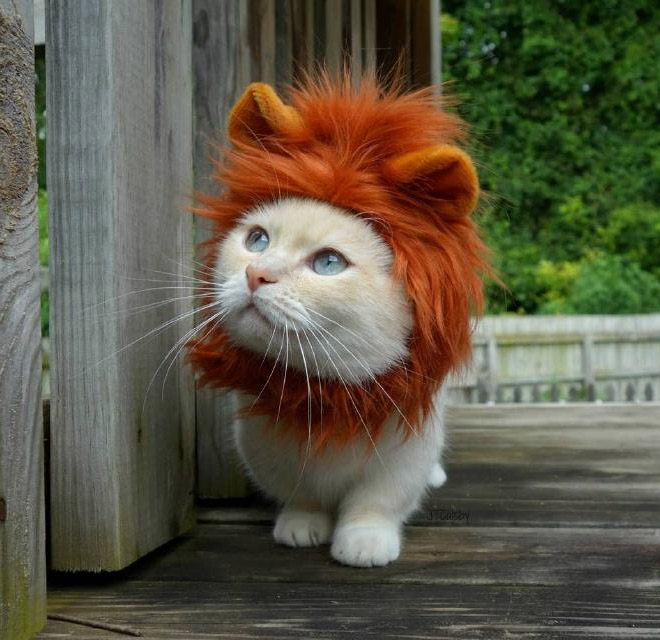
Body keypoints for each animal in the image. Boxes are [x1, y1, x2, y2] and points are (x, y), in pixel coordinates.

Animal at [214, 198, 446, 568]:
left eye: (328, 262)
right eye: (257, 240)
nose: (255, 273)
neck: (325, 398)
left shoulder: (405, 454)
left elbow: (375, 502)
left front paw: (365, 540)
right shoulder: (264, 449)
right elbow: (300, 493)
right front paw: (303, 522)